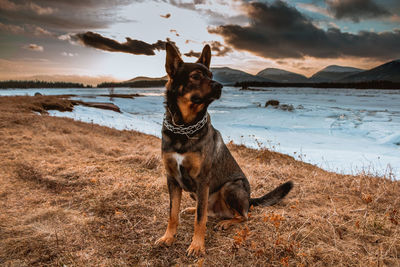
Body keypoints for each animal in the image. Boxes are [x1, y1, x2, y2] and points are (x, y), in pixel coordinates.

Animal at [155, 43, 292, 256]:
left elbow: (200, 219)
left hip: (231, 187)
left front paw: (197, 245)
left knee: (242, 216)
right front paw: (168, 237)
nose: (219, 86)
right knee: (207, 210)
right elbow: (173, 214)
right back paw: (193, 209)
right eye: (196, 76)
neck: (184, 128)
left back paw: (227, 222)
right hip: (200, 193)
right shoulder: (172, 179)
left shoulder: (202, 180)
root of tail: (249, 200)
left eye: (211, 75)